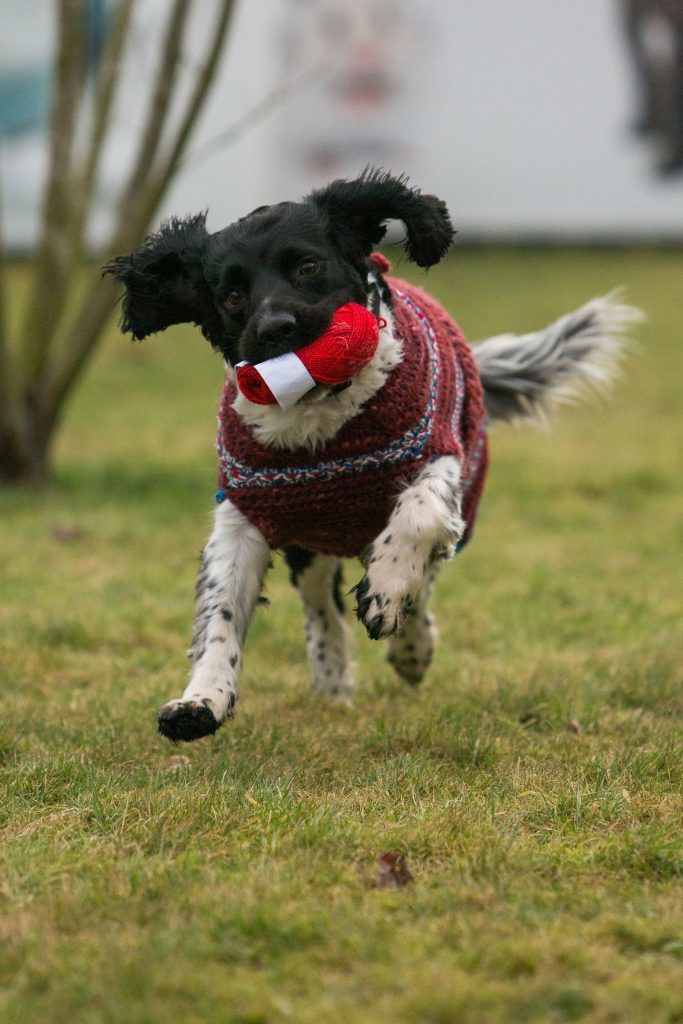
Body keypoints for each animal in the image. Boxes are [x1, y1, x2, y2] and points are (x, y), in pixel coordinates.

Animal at [104, 172, 638, 741]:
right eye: (231, 295)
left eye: (308, 266)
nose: (275, 328)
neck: (324, 423)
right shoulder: (243, 516)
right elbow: (221, 611)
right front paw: (201, 701)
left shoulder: (439, 461)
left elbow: (418, 517)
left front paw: (386, 594)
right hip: (309, 542)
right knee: (321, 605)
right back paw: (332, 679)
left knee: (424, 577)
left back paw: (411, 646)